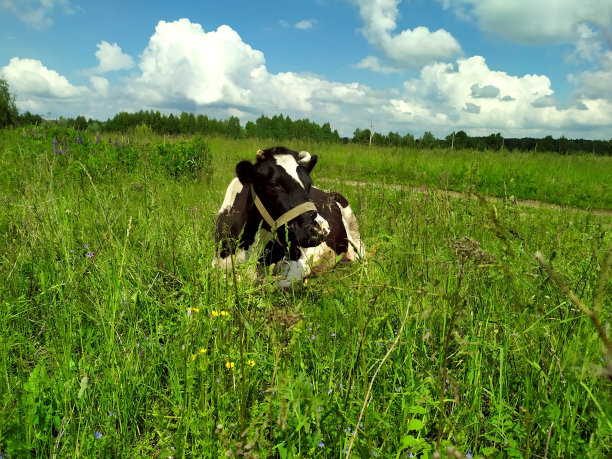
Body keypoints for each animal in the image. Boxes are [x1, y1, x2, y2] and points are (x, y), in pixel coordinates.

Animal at [214, 146, 364, 288]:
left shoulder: (299, 261)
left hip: (356, 236)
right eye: (274, 185)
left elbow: (278, 284)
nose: (320, 229)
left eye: (308, 183)